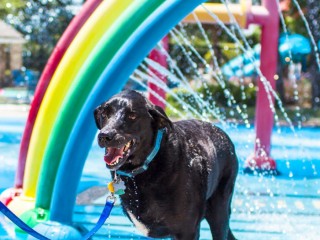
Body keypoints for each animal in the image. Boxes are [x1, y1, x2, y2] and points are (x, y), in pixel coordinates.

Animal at [93, 90, 238, 240]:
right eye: (104, 114)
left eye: (132, 115)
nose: (105, 135)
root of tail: (222, 133)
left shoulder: (188, 231)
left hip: (219, 211)